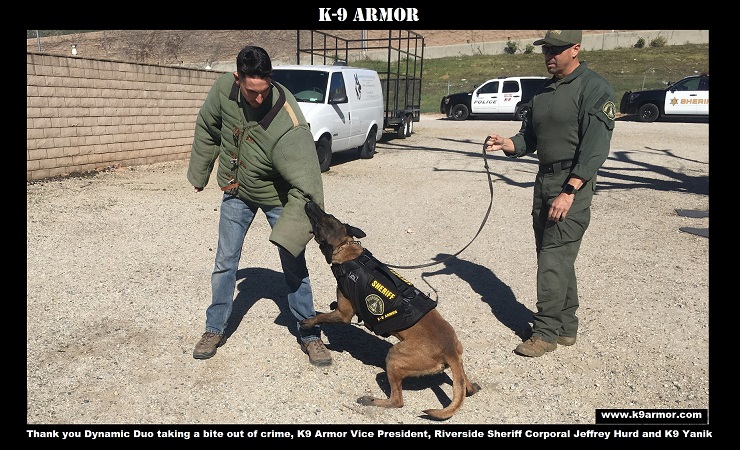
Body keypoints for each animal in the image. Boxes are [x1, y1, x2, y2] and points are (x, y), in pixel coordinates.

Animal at [300, 200, 480, 418]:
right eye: (329, 216)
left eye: (321, 222)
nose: (309, 202)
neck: (347, 250)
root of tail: (449, 350)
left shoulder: (343, 315)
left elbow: (321, 316)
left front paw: (308, 321)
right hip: (457, 361)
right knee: (465, 386)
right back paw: (470, 387)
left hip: (394, 357)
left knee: (398, 401)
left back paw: (371, 400)